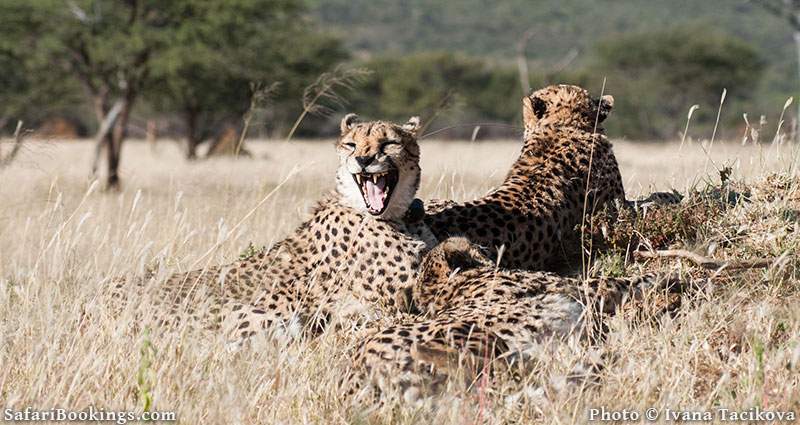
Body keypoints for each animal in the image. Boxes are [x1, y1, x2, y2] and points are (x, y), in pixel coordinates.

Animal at [108, 113, 438, 344]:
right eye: (351, 144)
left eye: (389, 143)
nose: (363, 159)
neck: (398, 217)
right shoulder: (397, 303)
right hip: (265, 317)